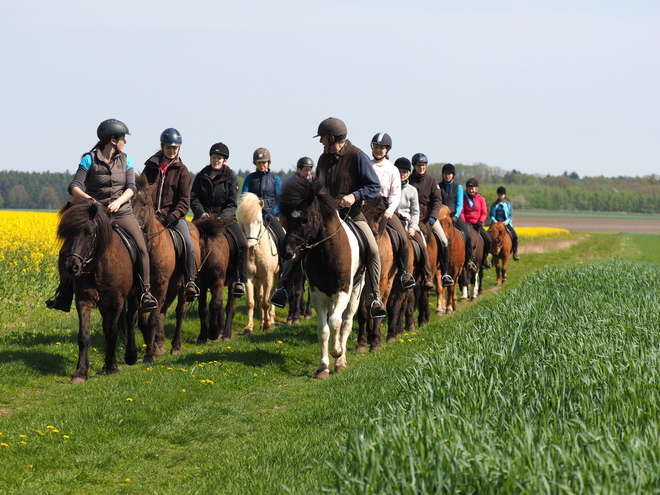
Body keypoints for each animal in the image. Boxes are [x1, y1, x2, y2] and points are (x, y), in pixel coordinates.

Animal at [55, 198, 139, 384]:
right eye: (67, 234)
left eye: (89, 233)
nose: (72, 266)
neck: (99, 266)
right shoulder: (84, 300)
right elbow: (84, 336)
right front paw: (80, 372)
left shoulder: (116, 301)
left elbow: (112, 333)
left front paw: (112, 368)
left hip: (134, 297)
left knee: (130, 321)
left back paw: (130, 355)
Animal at [131, 176, 199, 362]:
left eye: (144, 203)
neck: (150, 248)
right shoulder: (143, 290)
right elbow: (143, 319)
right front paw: (152, 347)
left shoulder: (160, 285)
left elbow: (153, 318)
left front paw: (149, 354)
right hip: (171, 287)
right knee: (163, 310)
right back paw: (160, 344)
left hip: (181, 286)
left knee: (180, 312)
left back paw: (175, 346)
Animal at [236, 192, 280, 336]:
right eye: (243, 223)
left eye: (259, 222)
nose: (251, 245)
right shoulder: (249, 278)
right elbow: (251, 303)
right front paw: (249, 327)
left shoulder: (267, 277)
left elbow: (266, 302)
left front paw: (267, 325)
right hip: (257, 280)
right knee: (260, 297)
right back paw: (261, 322)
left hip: (276, 276)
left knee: (272, 294)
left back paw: (270, 321)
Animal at [276, 178, 364, 380]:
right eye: (287, 219)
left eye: (304, 219)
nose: (286, 252)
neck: (326, 253)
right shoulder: (318, 294)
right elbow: (323, 330)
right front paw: (322, 367)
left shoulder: (342, 291)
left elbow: (336, 323)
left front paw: (337, 352)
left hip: (356, 291)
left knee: (346, 323)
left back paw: (341, 361)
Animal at [356, 196, 398, 354]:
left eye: (374, 232)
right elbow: (362, 312)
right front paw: (361, 343)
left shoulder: (381, 281)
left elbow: (379, 308)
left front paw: (375, 342)